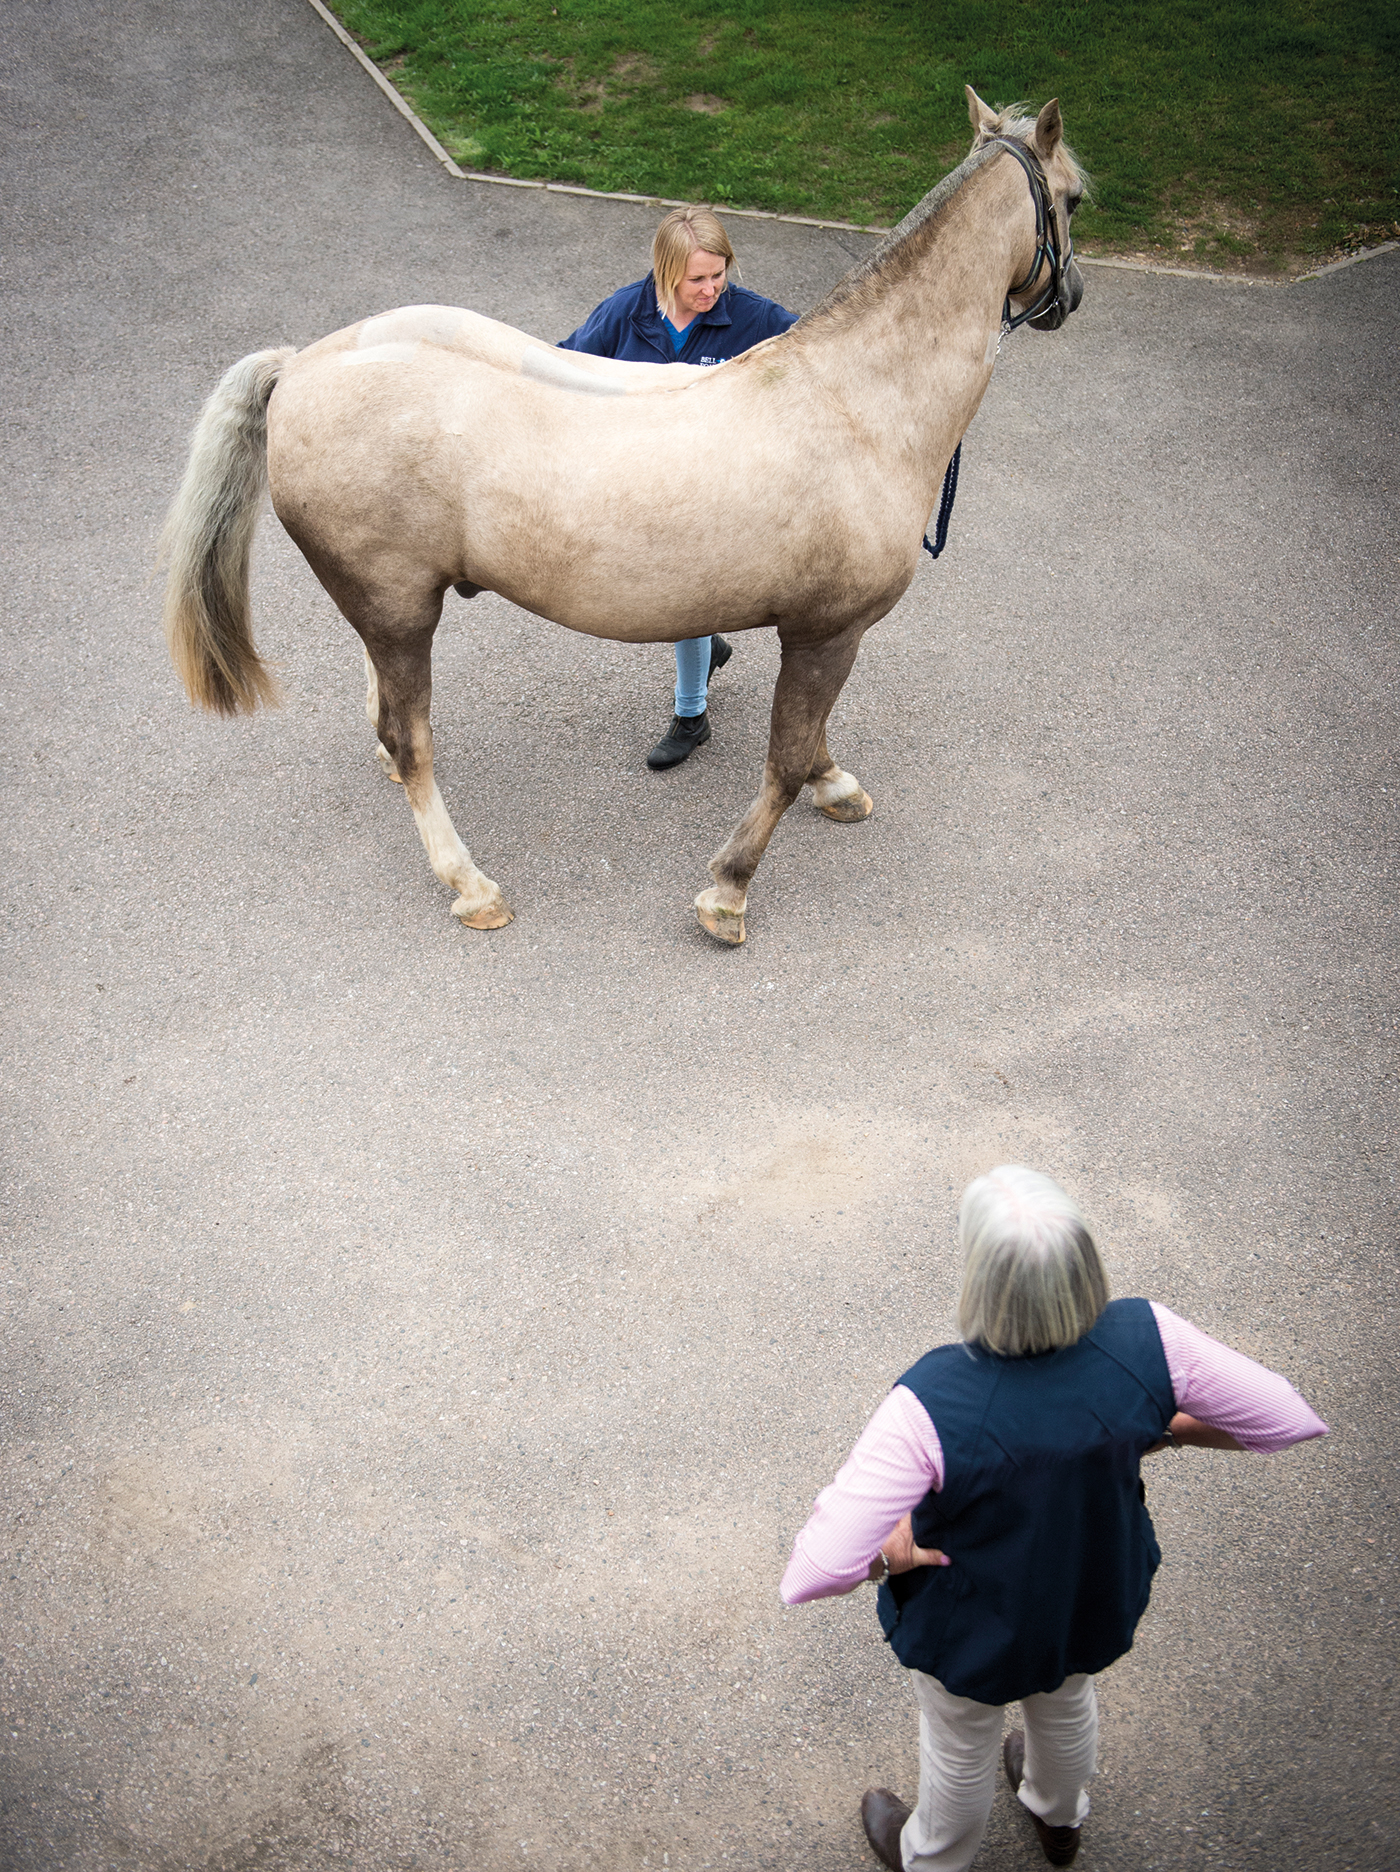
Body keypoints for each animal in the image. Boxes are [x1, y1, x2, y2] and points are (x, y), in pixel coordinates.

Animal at [160, 88, 1085, 947]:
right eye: (1074, 200)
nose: (1071, 296)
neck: (851, 398)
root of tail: (301, 367)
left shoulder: (819, 635)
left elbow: (808, 740)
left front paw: (834, 784)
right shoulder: (828, 632)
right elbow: (783, 763)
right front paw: (728, 892)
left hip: (389, 609)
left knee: (389, 716)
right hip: (399, 612)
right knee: (411, 733)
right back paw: (470, 884)